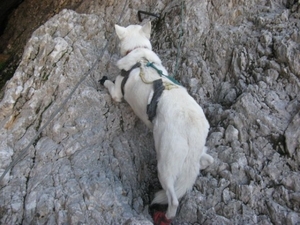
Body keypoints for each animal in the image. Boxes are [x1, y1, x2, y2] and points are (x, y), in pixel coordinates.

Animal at [101, 22, 213, 224]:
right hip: (194, 154)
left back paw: (167, 215)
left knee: (173, 198)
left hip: (165, 163)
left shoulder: (118, 93)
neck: (139, 54)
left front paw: (105, 80)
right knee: (207, 161)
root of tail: (191, 127)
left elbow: (111, 86)